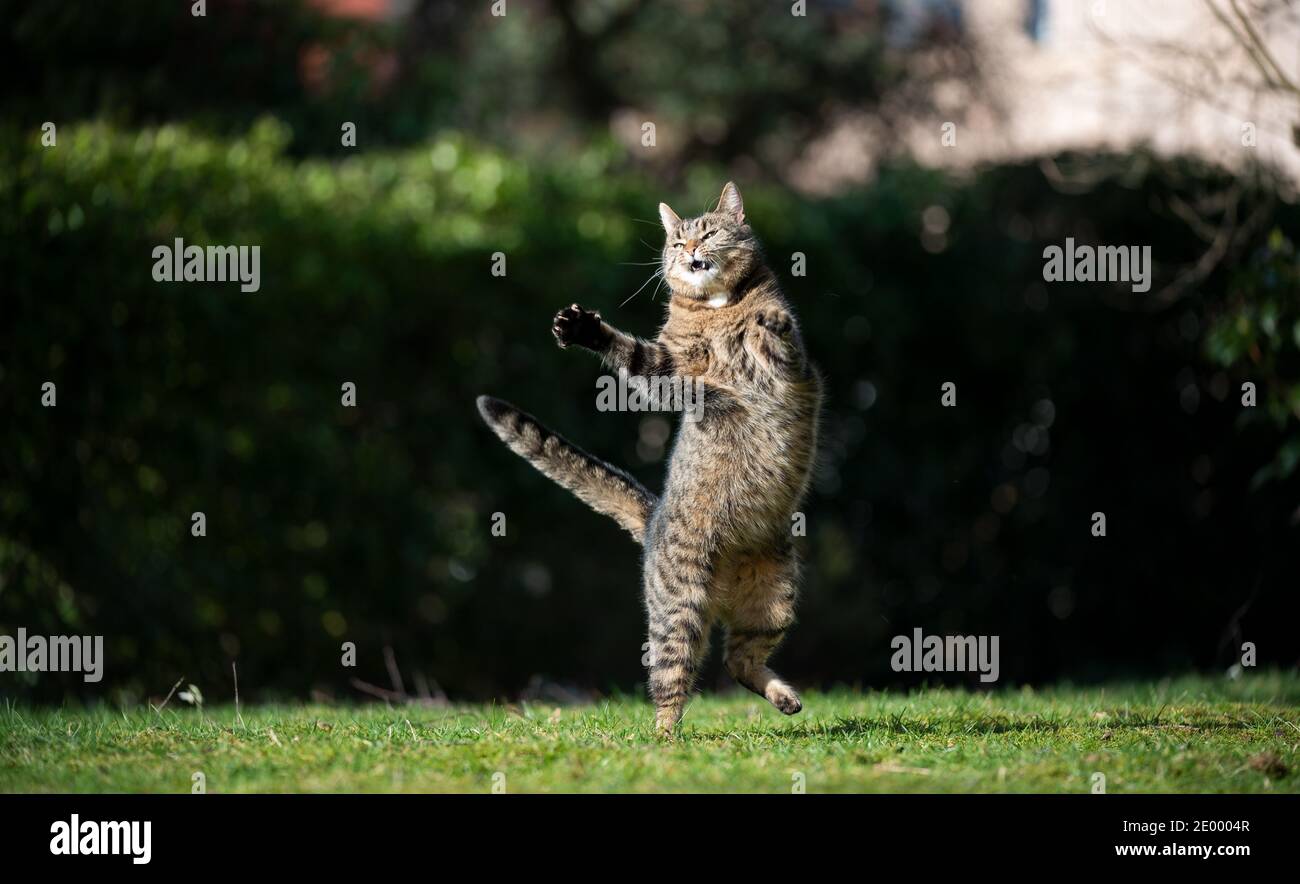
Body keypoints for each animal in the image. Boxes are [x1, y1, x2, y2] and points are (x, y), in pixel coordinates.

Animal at [478, 179, 821, 733]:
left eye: (708, 233)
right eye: (677, 240)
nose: (690, 251)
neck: (716, 305)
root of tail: (655, 510)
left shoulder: (795, 365)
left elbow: (775, 334)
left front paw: (766, 320)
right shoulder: (671, 367)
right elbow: (635, 356)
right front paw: (583, 330)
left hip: (776, 600)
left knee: (738, 659)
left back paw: (784, 699)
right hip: (679, 612)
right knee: (672, 682)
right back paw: (665, 739)